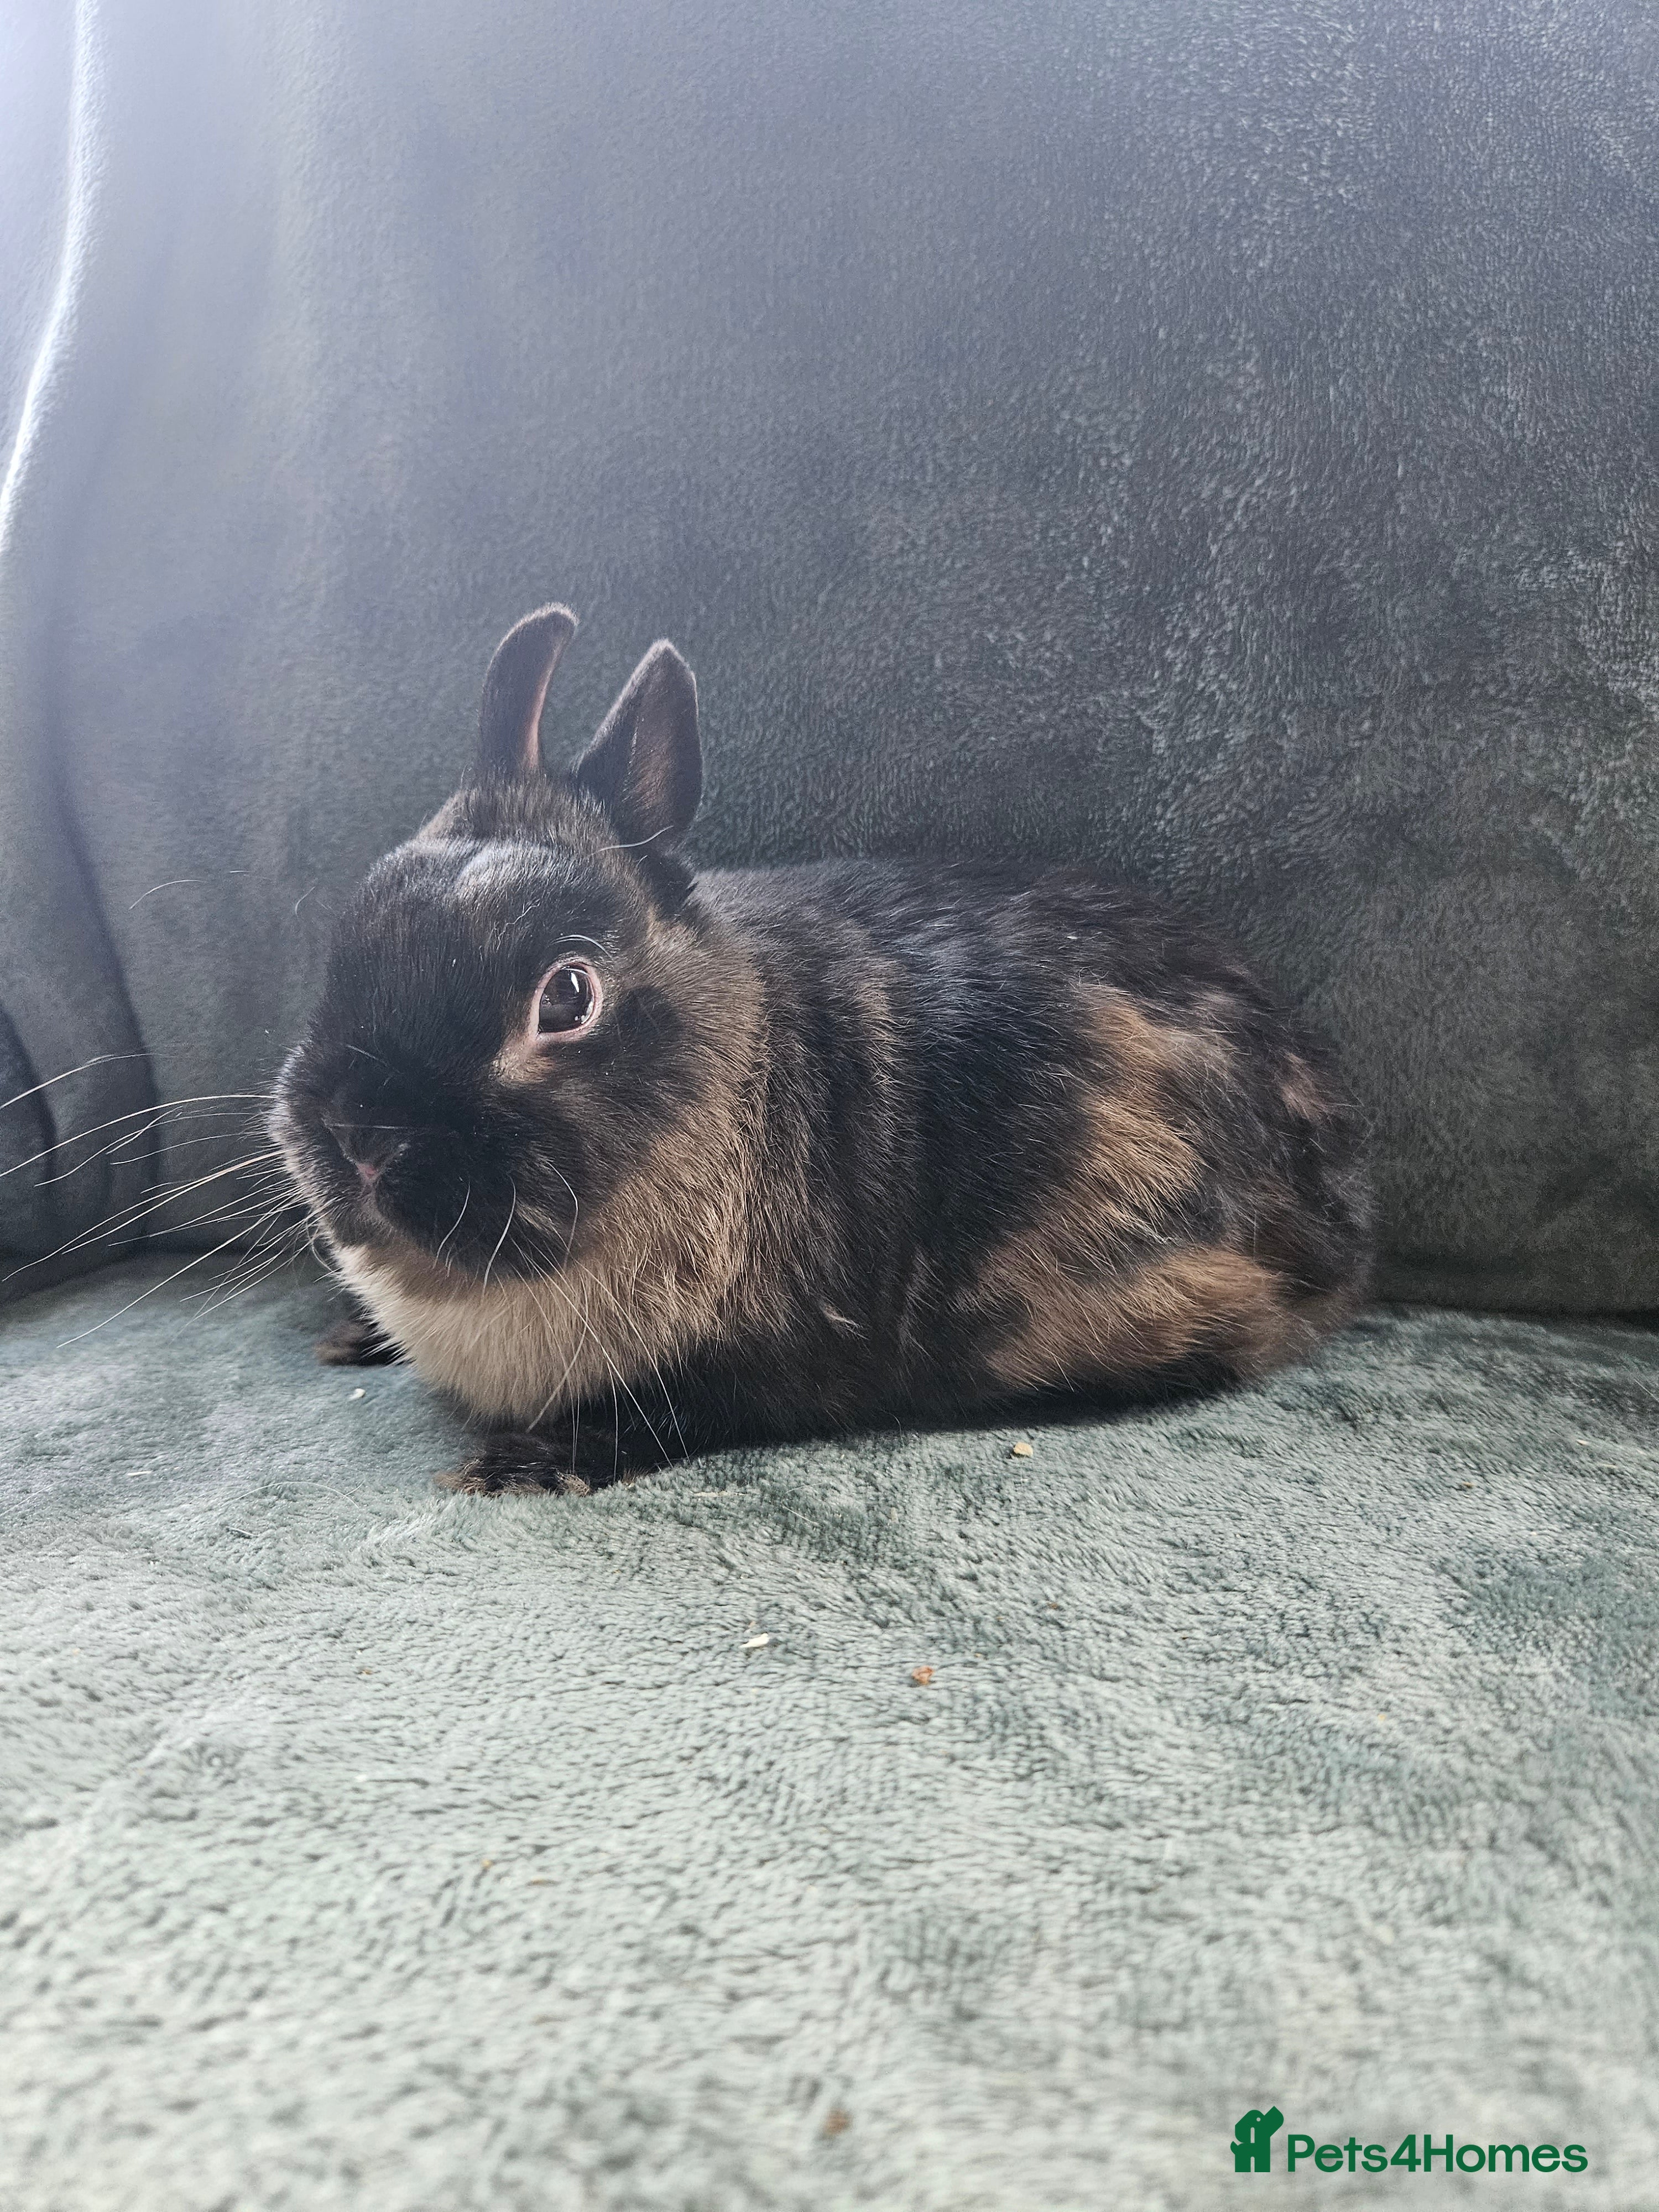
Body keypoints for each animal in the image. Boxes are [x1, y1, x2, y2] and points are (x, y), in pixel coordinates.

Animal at [271, 604, 1373, 1495]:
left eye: (568, 996)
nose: (361, 1135)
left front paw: (522, 1467)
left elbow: (671, 1412)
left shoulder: (762, 1365)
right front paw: (351, 1339)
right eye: (353, 933)